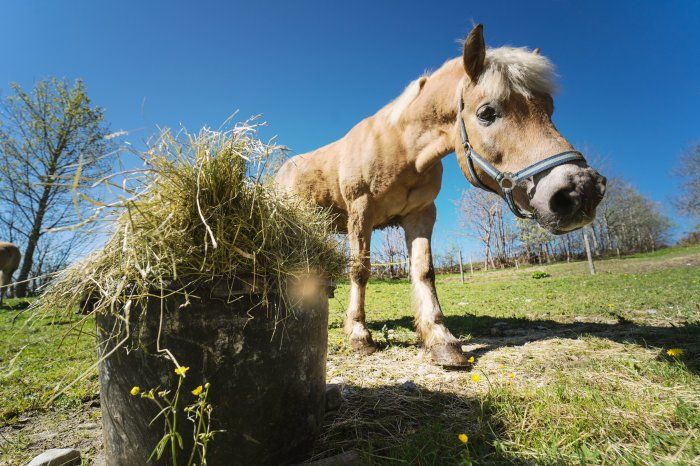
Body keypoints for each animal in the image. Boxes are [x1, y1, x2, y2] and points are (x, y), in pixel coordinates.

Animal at [274, 24, 608, 368]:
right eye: (487, 112)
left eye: (549, 109)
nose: (580, 190)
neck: (402, 148)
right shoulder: (361, 212)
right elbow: (360, 270)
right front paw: (358, 335)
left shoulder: (421, 214)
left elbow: (424, 272)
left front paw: (440, 339)